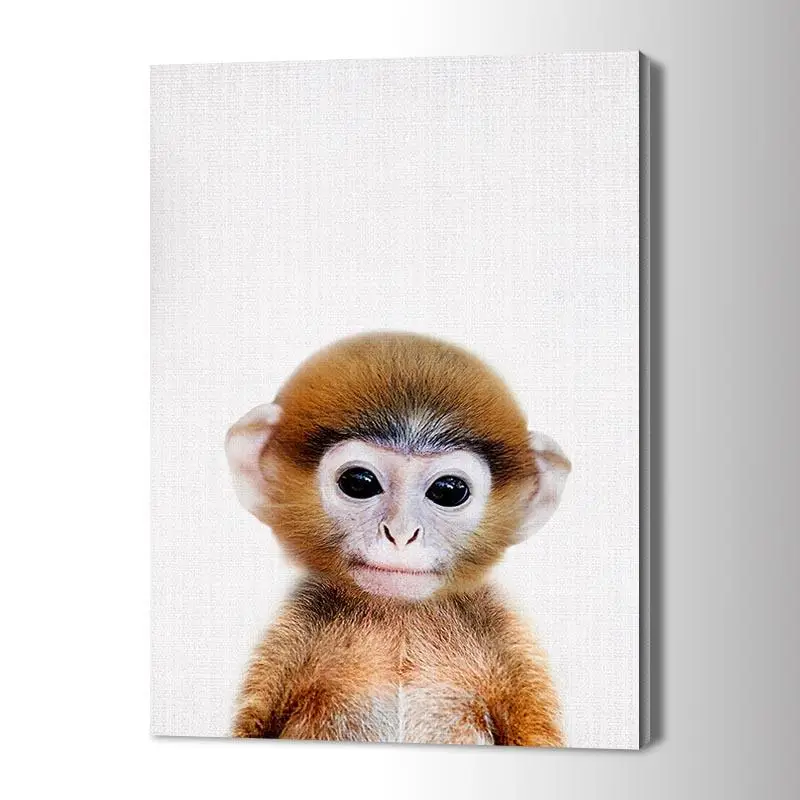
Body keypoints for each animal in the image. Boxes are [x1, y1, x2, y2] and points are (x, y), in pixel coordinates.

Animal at [225, 332, 571, 746]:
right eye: (359, 483)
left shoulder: (506, 637)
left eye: (448, 491)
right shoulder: (293, 633)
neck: (399, 618)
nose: (401, 534)